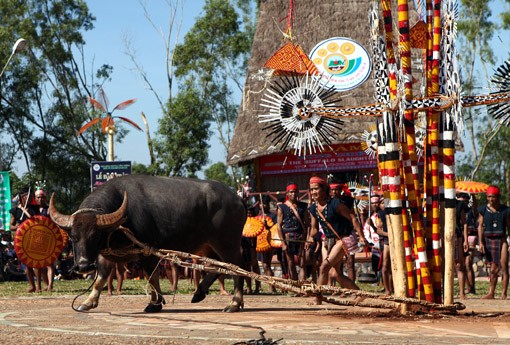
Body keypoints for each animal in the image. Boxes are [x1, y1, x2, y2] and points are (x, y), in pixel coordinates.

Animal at [49, 175, 247, 312]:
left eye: (95, 236)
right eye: (73, 236)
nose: (83, 266)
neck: (122, 222)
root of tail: (237, 199)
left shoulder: (147, 251)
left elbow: (151, 277)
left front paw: (155, 303)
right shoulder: (107, 254)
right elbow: (101, 278)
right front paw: (88, 302)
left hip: (227, 242)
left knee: (237, 267)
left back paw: (234, 303)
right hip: (208, 245)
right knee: (218, 266)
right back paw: (199, 293)